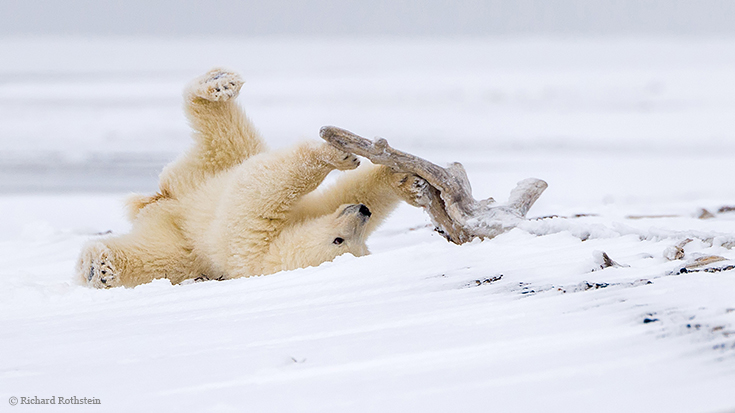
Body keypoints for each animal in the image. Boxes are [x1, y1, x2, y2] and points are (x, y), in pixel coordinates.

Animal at [77, 68, 428, 286]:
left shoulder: (256, 244)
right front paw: (342, 156)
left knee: (152, 258)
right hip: (214, 169)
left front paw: (407, 182)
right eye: (338, 240)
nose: (362, 212)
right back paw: (219, 84)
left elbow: (335, 194)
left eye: (361, 241)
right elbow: (262, 190)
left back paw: (100, 267)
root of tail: (159, 200)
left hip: (183, 246)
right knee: (230, 137)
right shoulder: (258, 235)